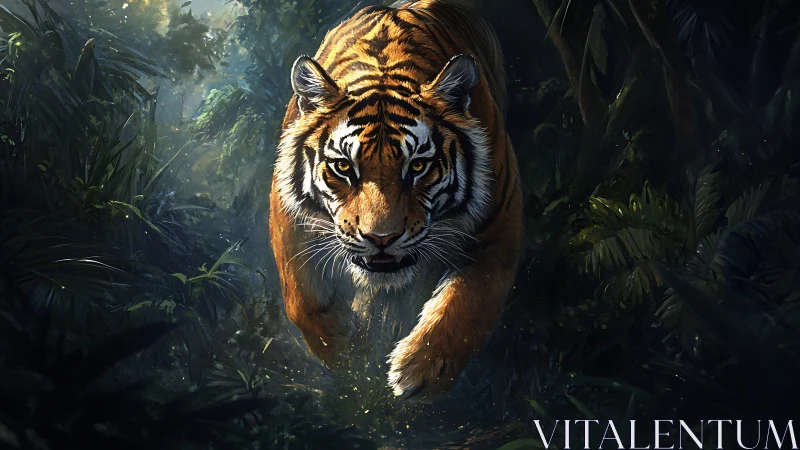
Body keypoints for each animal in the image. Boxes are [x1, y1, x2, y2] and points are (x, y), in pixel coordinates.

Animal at [269, 0, 523, 401]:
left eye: (417, 166)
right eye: (344, 166)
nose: (381, 239)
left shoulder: (500, 225)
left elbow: (469, 303)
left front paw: (419, 372)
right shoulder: (288, 213)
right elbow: (300, 296)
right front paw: (344, 349)